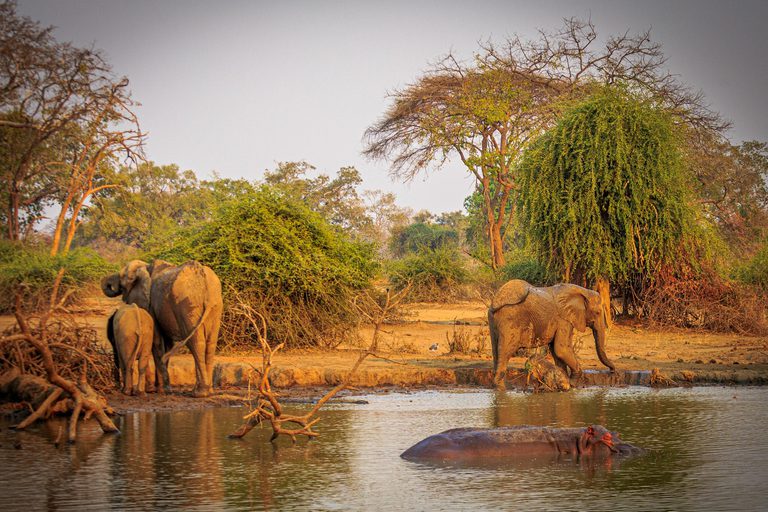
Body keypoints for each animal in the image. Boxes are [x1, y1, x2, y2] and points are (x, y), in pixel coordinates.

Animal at [102, 259, 223, 398]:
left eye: (122, 285)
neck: (146, 267)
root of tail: (204, 279)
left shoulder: (151, 305)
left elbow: (157, 341)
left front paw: (160, 390)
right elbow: (168, 344)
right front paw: (161, 389)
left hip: (187, 304)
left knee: (196, 343)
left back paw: (199, 393)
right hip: (215, 305)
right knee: (211, 343)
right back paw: (206, 391)